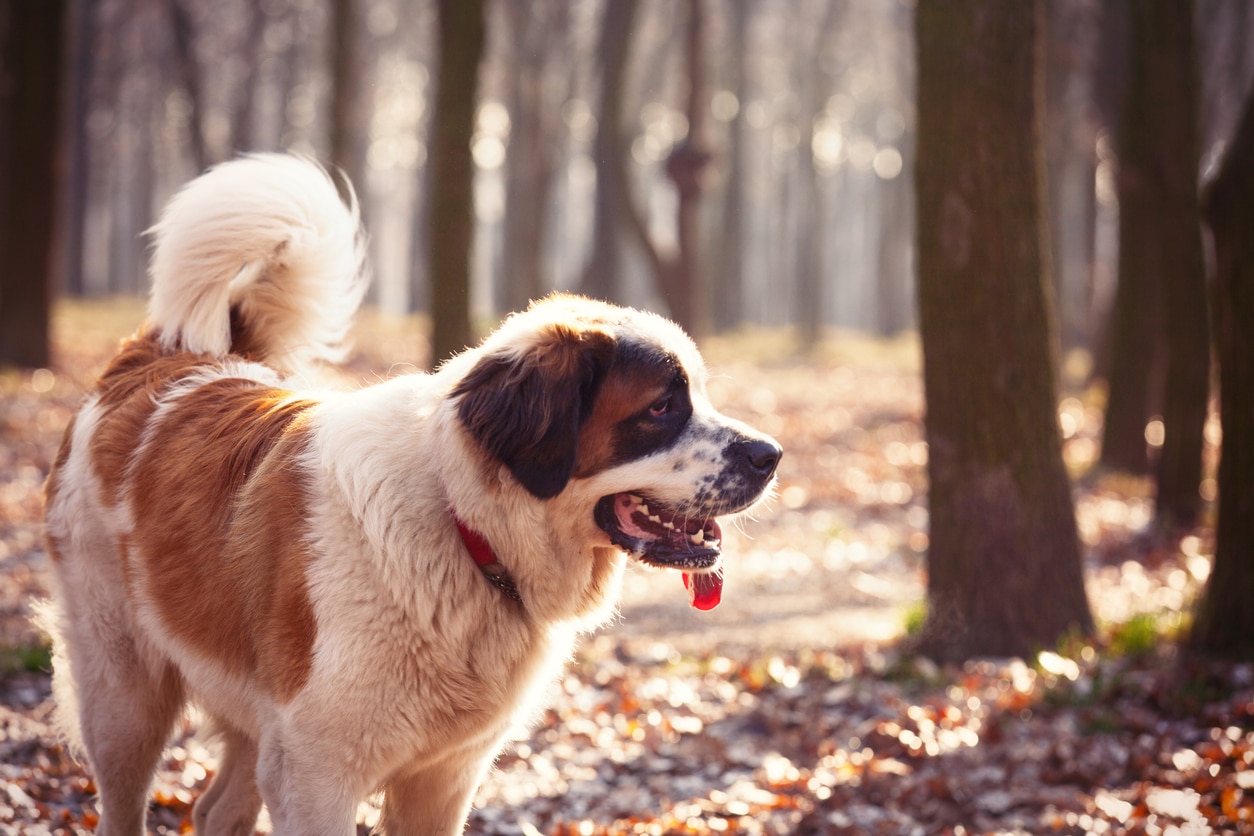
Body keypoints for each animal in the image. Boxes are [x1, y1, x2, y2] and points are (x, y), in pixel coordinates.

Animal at [39, 153, 777, 832]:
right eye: (662, 407)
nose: (770, 456)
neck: (464, 527)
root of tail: (163, 358)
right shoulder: (316, 776)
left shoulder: (441, 778)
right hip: (124, 693)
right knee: (123, 798)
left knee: (217, 809)